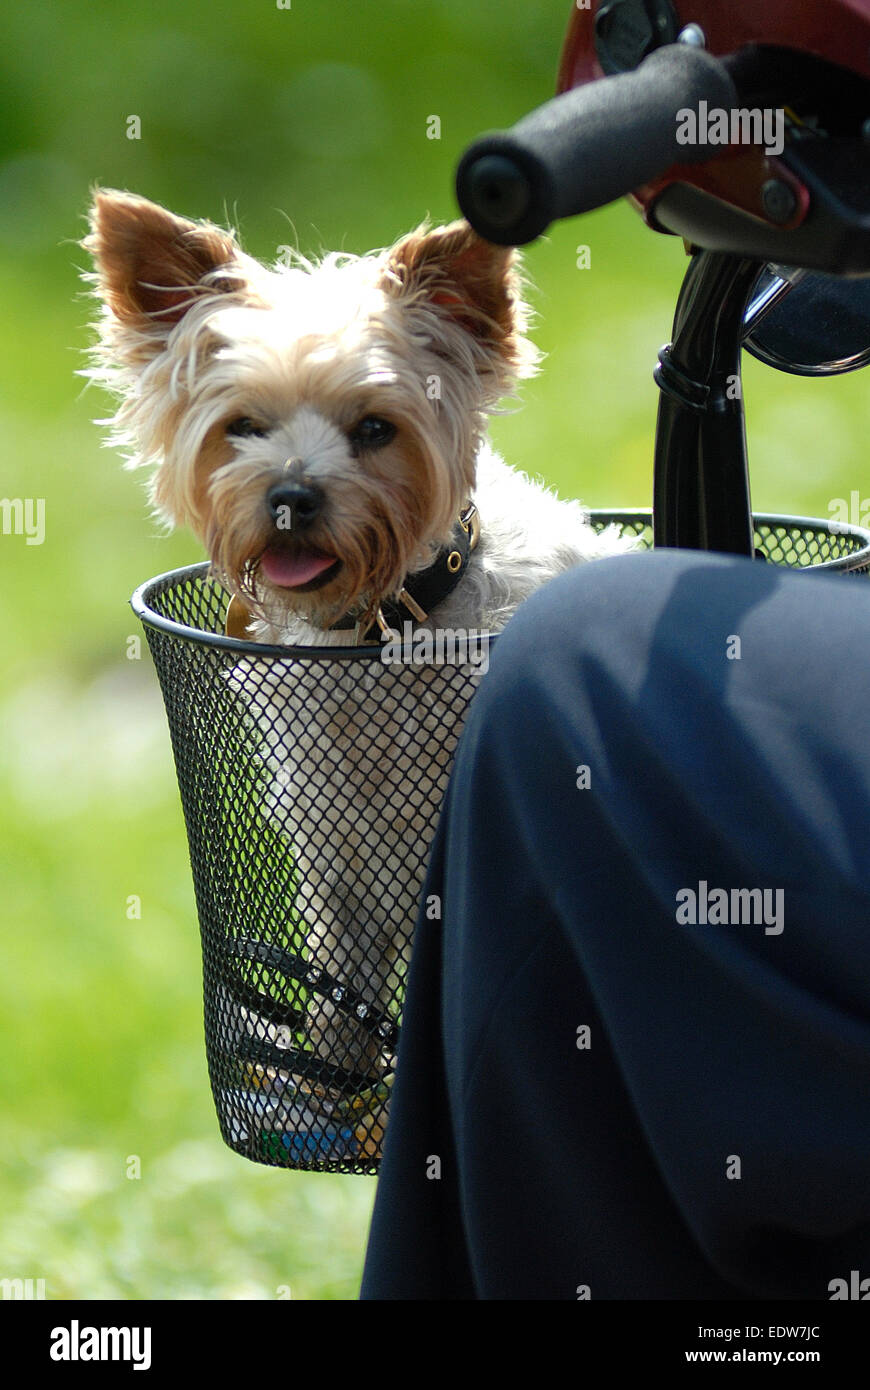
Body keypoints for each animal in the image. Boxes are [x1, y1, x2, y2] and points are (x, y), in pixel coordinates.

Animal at [81, 187, 625, 1150]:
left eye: (376, 428)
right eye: (242, 427)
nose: (291, 495)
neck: (381, 626)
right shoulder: (330, 836)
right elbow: (338, 969)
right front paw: (334, 1073)